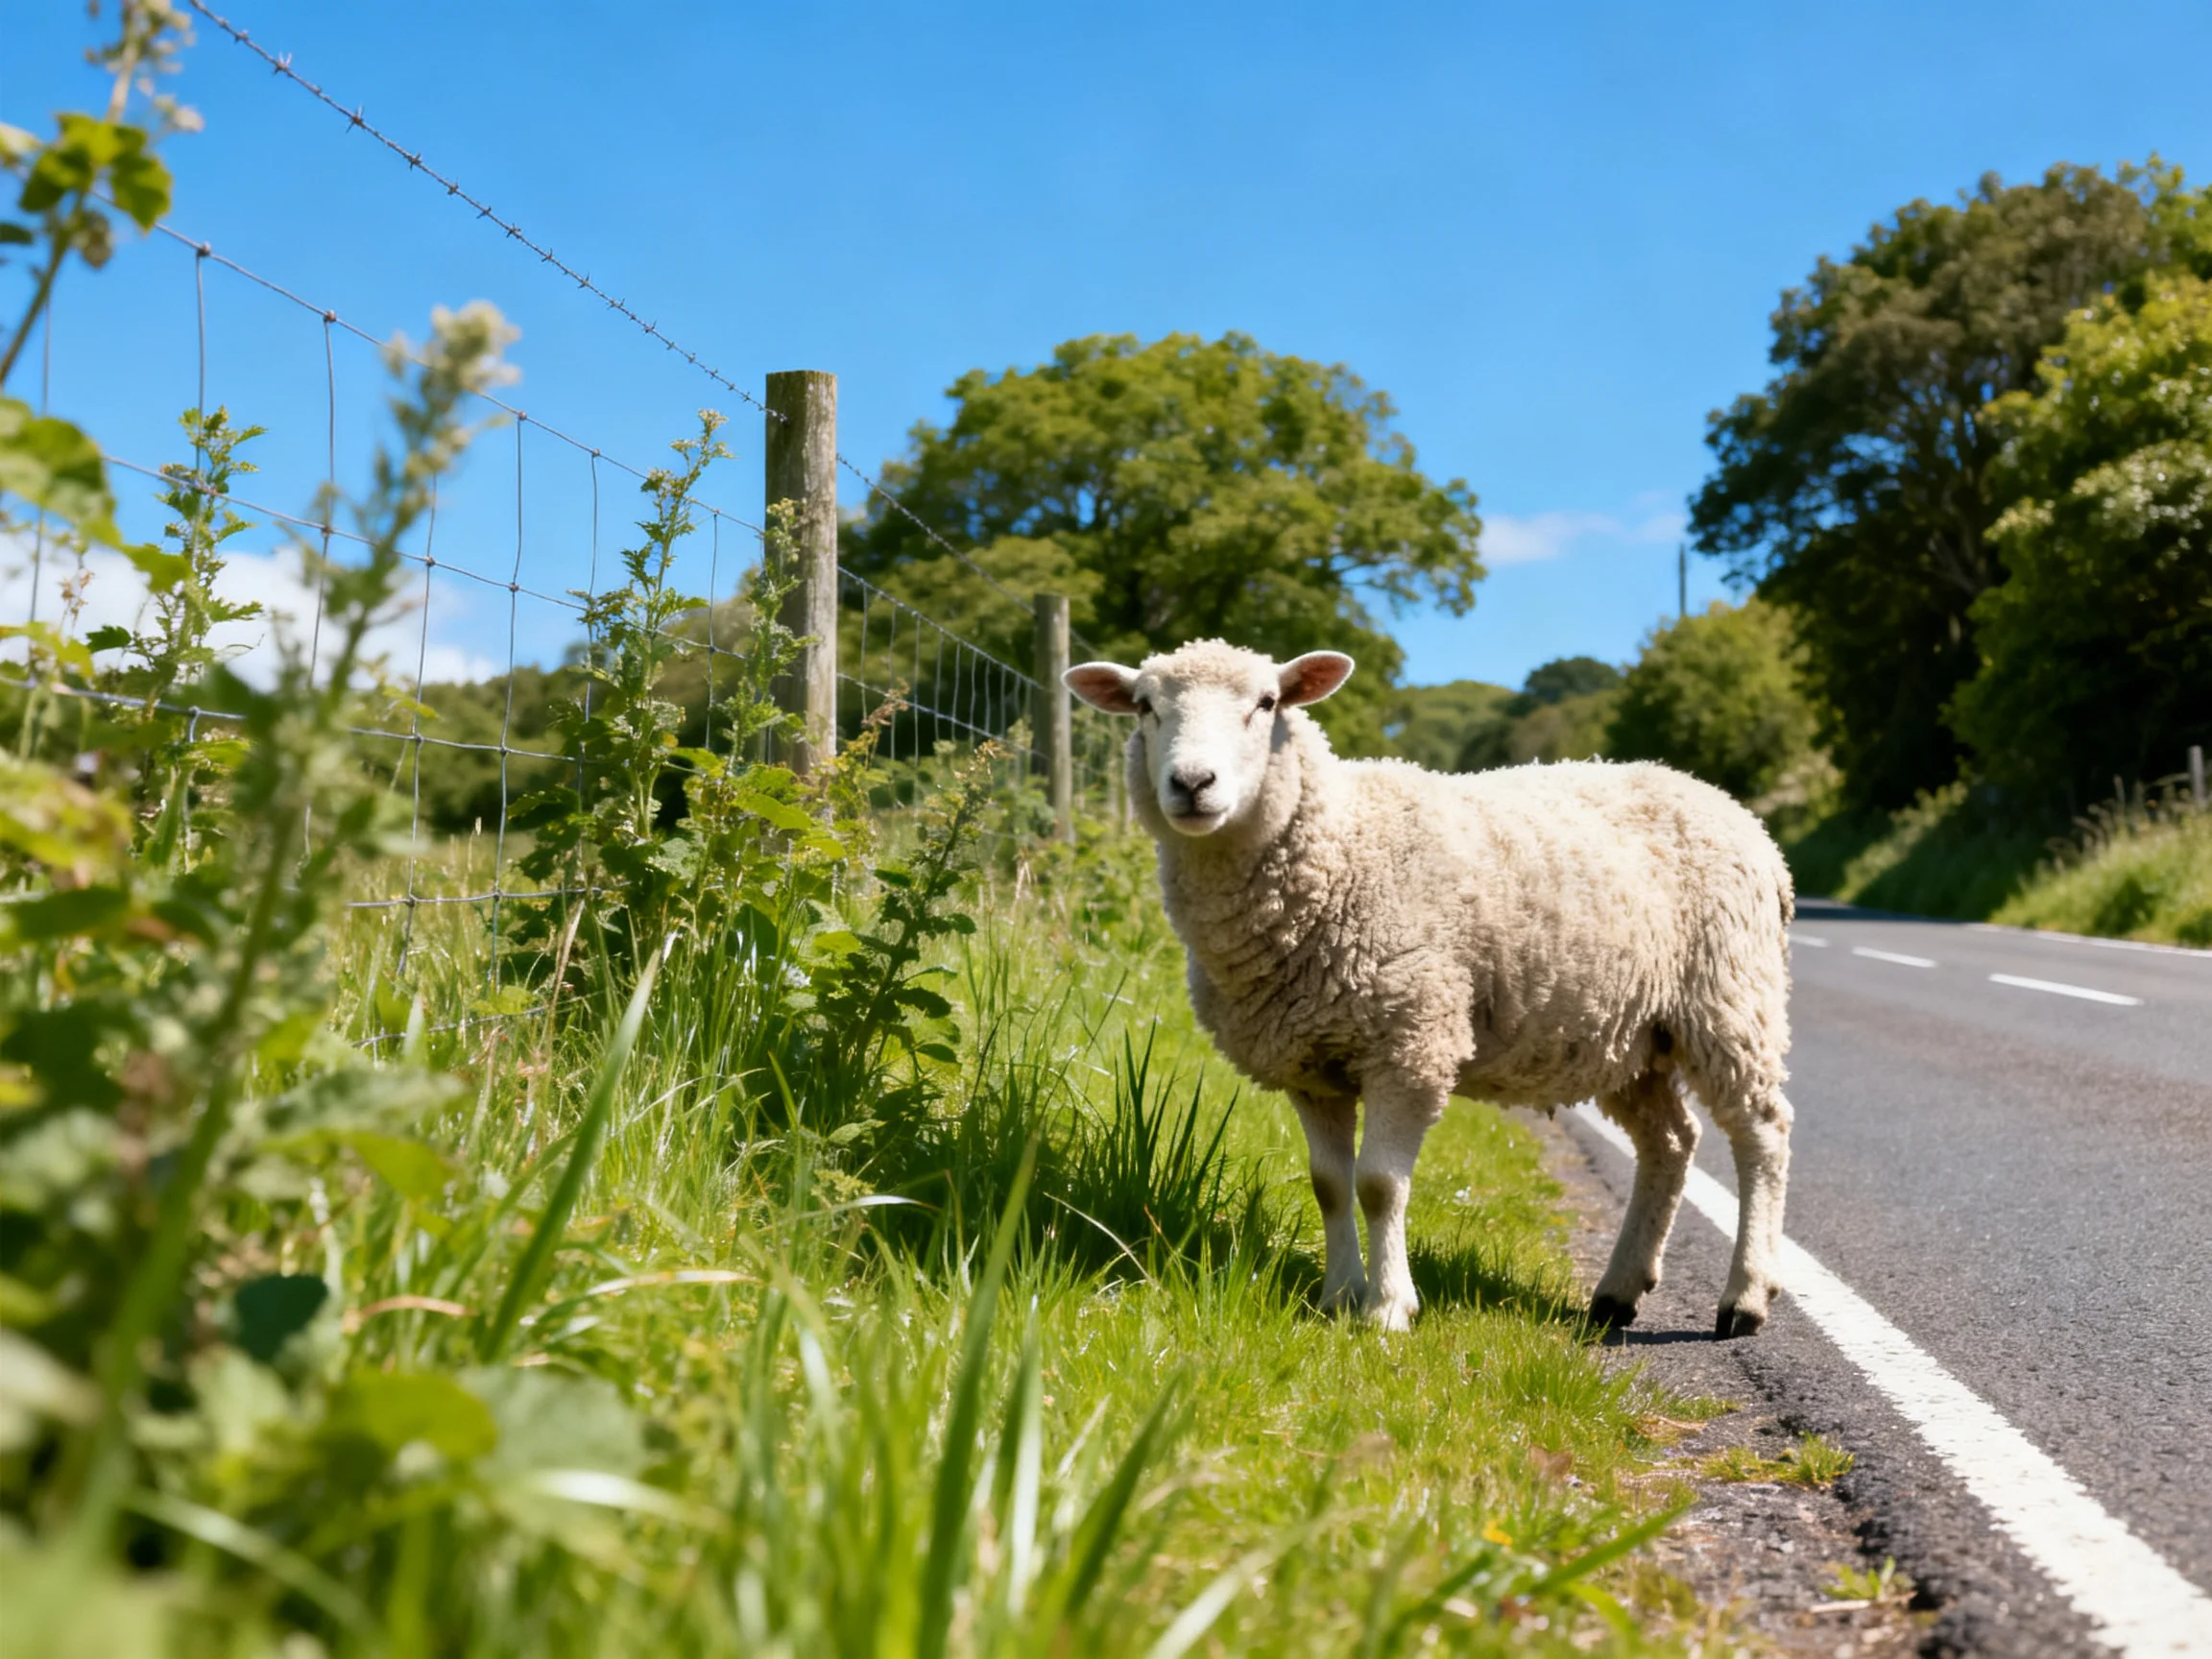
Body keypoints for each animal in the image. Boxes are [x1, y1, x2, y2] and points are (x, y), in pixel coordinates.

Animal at [1065, 639, 1795, 1337]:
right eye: (1144, 707)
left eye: (1267, 703)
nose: (1192, 783)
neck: (1342, 848)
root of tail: (1731, 809)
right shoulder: (1310, 1062)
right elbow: (1330, 1185)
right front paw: (1338, 1297)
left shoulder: (1410, 1042)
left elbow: (1380, 1185)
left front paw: (1389, 1309)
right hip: (1629, 1036)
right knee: (1670, 1143)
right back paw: (1619, 1291)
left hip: (1729, 997)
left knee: (1763, 1132)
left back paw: (1745, 1297)